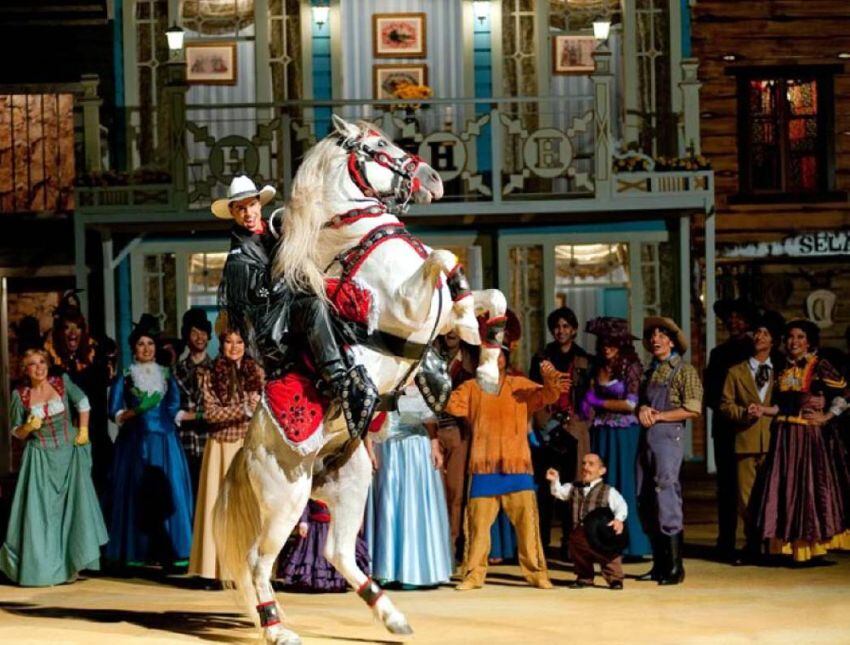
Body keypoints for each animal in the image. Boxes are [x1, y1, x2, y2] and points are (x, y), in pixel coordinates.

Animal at [214, 115, 504, 644]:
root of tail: (247, 450)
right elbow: (444, 259)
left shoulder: (429, 319)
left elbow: (486, 296)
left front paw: (486, 362)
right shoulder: (407, 308)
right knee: (258, 561)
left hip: (349, 482)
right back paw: (277, 628)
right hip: (286, 500)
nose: (434, 179)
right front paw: (473, 335)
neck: (360, 240)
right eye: (379, 146)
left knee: (338, 553)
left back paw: (391, 615)